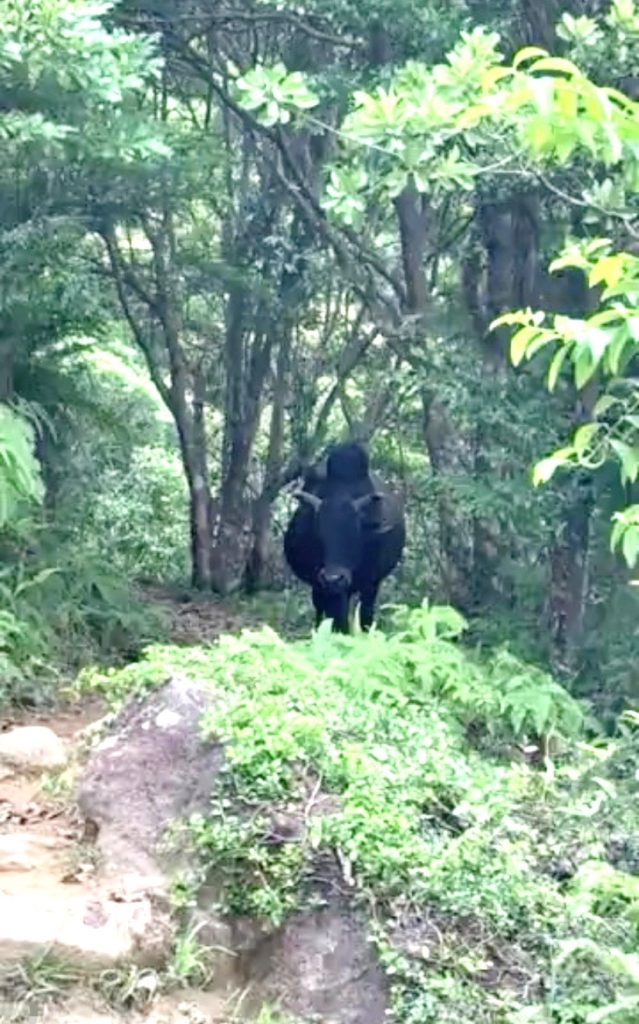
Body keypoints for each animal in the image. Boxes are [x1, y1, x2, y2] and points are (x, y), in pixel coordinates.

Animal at [284, 440, 403, 630]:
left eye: (355, 532)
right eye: (319, 533)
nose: (333, 579)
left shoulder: (371, 583)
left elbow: (365, 616)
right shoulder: (327, 587)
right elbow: (338, 619)